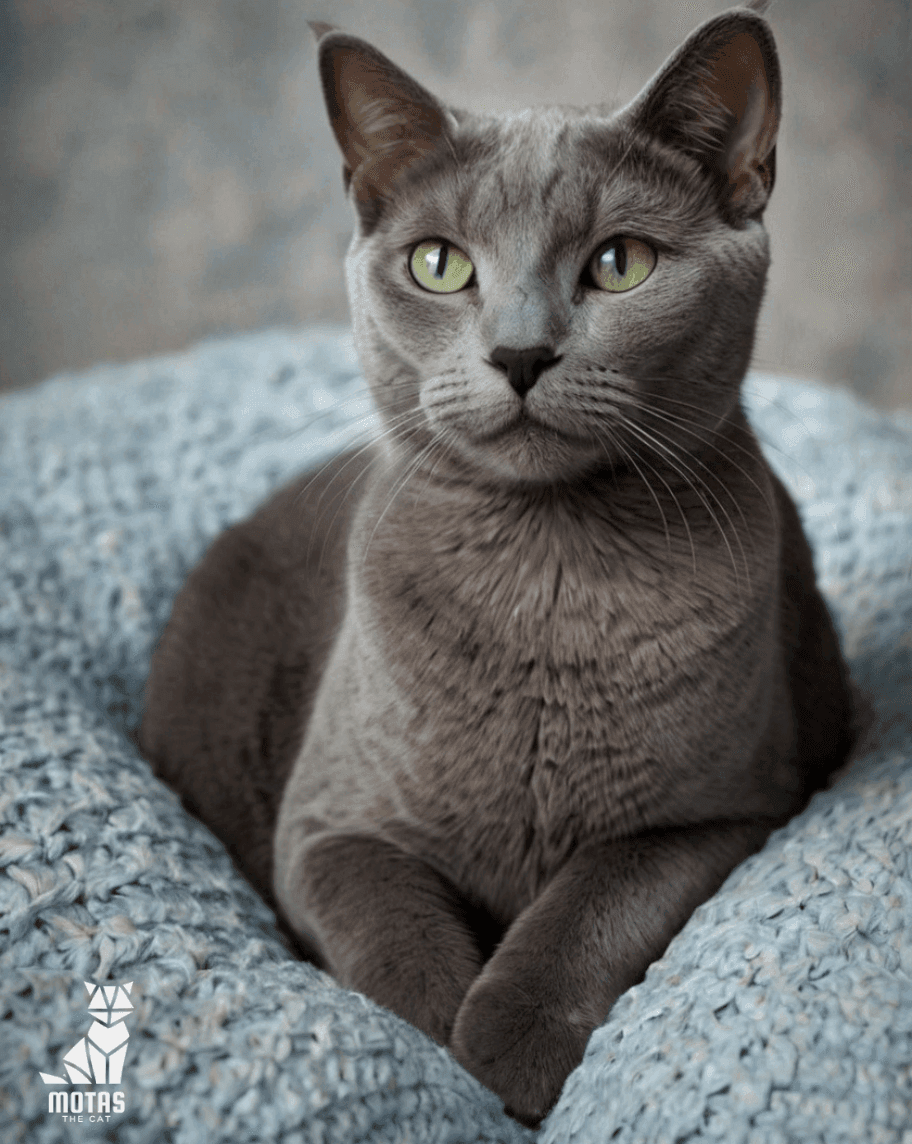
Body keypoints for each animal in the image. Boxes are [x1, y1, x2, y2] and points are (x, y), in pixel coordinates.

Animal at [140, 2, 855, 1125]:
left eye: (620, 262)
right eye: (439, 264)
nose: (520, 353)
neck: (544, 577)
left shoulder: (724, 813)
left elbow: (592, 902)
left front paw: (508, 1046)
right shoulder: (328, 828)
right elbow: (391, 928)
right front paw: (444, 1053)